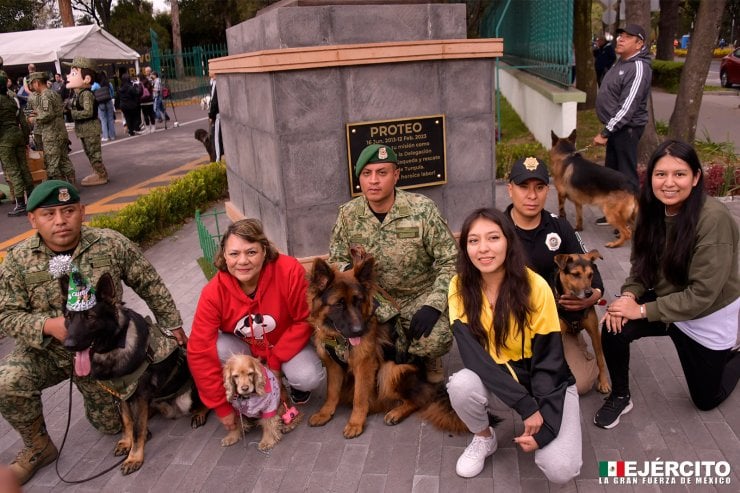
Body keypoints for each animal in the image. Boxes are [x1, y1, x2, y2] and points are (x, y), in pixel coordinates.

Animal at [61, 270, 208, 474]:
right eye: (68, 317)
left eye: (90, 316)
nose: (68, 345)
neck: (114, 348)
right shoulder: (119, 394)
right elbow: (127, 420)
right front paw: (126, 442)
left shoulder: (140, 395)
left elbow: (137, 427)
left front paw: (134, 457)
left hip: (186, 397)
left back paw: (199, 413)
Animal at [552, 250, 608, 392]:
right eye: (575, 274)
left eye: (591, 274)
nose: (589, 293)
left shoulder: (594, 332)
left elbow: (600, 360)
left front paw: (604, 382)